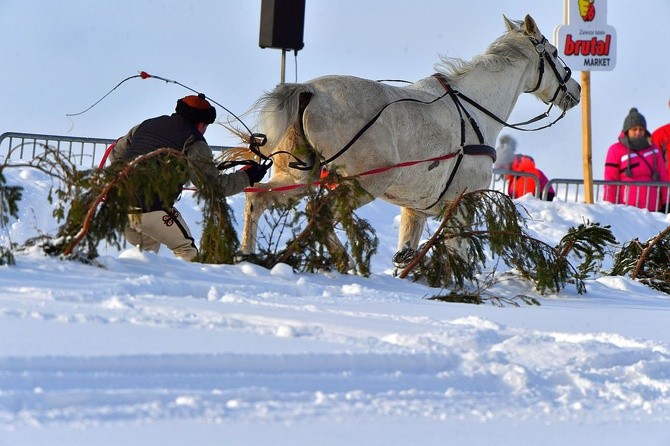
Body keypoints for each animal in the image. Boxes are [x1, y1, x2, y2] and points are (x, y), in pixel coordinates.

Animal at [242, 13, 584, 264]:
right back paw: (344, 263)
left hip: (298, 176)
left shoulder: (415, 210)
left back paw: (248, 255)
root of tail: (308, 90)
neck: (474, 108)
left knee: (257, 199)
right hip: (363, 183)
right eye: (554, 53)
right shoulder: (463, 205)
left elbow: (406, 254)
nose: (577, 89)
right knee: (320, 216)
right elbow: (457, 254)